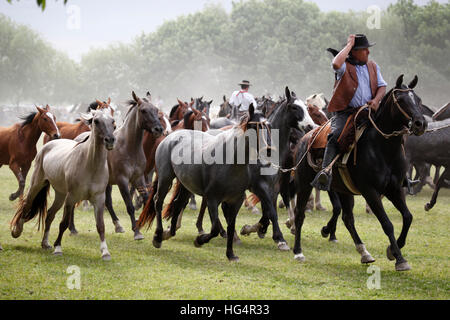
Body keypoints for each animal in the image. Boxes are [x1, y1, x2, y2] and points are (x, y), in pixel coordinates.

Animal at [11, 110, 117, 260]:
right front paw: (58, 248)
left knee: (49, 214)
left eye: (113, 121)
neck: (90, 165)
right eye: (96, 121)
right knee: (27, 205)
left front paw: (105, 252)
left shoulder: (99, 199)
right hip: (37, 185)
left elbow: (100, 225)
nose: (110, 140)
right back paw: (17, 231)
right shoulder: (71, 198)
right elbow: (64, 223)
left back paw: (45, 243)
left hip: (60, 195)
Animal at [292, 74, 426, 270]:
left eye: (418, 99)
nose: (420, 123)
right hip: (304, 185)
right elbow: (387, 224)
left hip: (344, 190)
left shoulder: (394, 189)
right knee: (300, 214)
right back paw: (298, 251)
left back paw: (363, 252)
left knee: (347, 218)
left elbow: (408, 217)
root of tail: (306, 139)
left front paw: (393, 250)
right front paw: (400, 259)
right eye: (401, 100)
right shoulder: (370, 191)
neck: (382, 148)